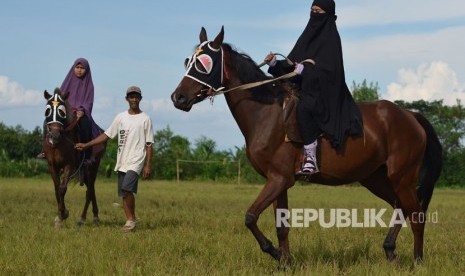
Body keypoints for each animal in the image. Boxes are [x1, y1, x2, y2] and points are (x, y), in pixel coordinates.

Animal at [43, 88, 105, 229]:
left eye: (62, 111)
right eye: (47, 110)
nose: (54, 136)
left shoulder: (69, 165)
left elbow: (62, 189)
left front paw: (63, 214)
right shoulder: (52, 166)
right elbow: (57, 189)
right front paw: (59, 216)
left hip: (92, 168)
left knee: (90, 191)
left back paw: (88, 218)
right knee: (91, 190)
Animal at [171, 27, 442, 264]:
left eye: (204, 64)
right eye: (188, 61)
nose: (178, 98)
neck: (267, 114)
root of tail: (410, 115)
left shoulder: (279, 179)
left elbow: (250, 217)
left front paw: (275, 253)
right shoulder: (278, 181)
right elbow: (281, 226)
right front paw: (285, 262)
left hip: (402, 178)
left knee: (416, 215)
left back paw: (417, 261)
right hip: (374, 177)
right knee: (400, 206)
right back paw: (390, 250)